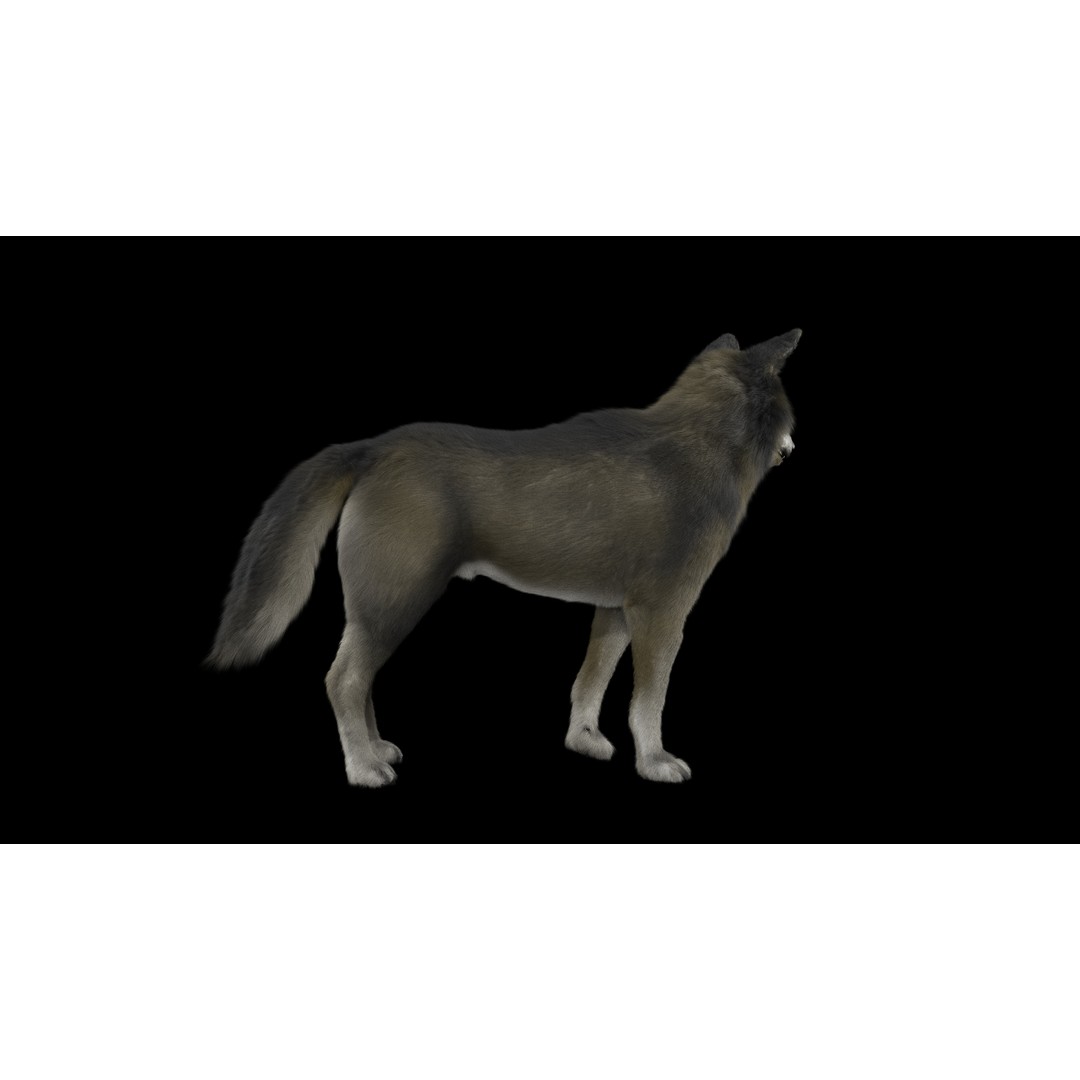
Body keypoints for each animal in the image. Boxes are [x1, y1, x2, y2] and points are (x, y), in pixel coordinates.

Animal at [208, 329, 801, 786]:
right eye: (789, 409)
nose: (794, 448)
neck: (699, 440)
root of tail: (372, 449)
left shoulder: (614, 610)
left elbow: (589, 680)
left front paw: (584, 741)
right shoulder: (663, 613)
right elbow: (647, 700)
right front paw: (654, 763)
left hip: (381, 609)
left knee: (360, 681)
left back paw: (375, 750)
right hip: (395, 601)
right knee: (344, 681)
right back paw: (363, 768)